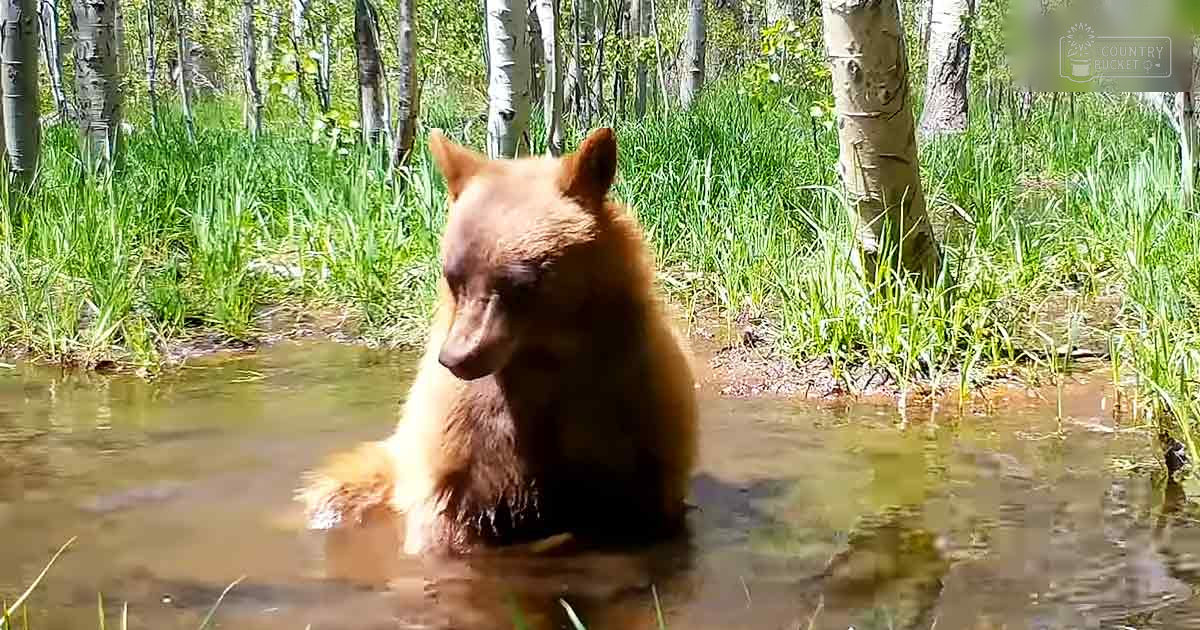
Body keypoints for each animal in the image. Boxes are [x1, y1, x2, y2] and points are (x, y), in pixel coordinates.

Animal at [298, 127, 699, 556]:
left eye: (519, 280)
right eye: (453, 276)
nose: (457, 357)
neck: (543, 359)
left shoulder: (632, 410)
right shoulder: (465, 446)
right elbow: (449, 520)